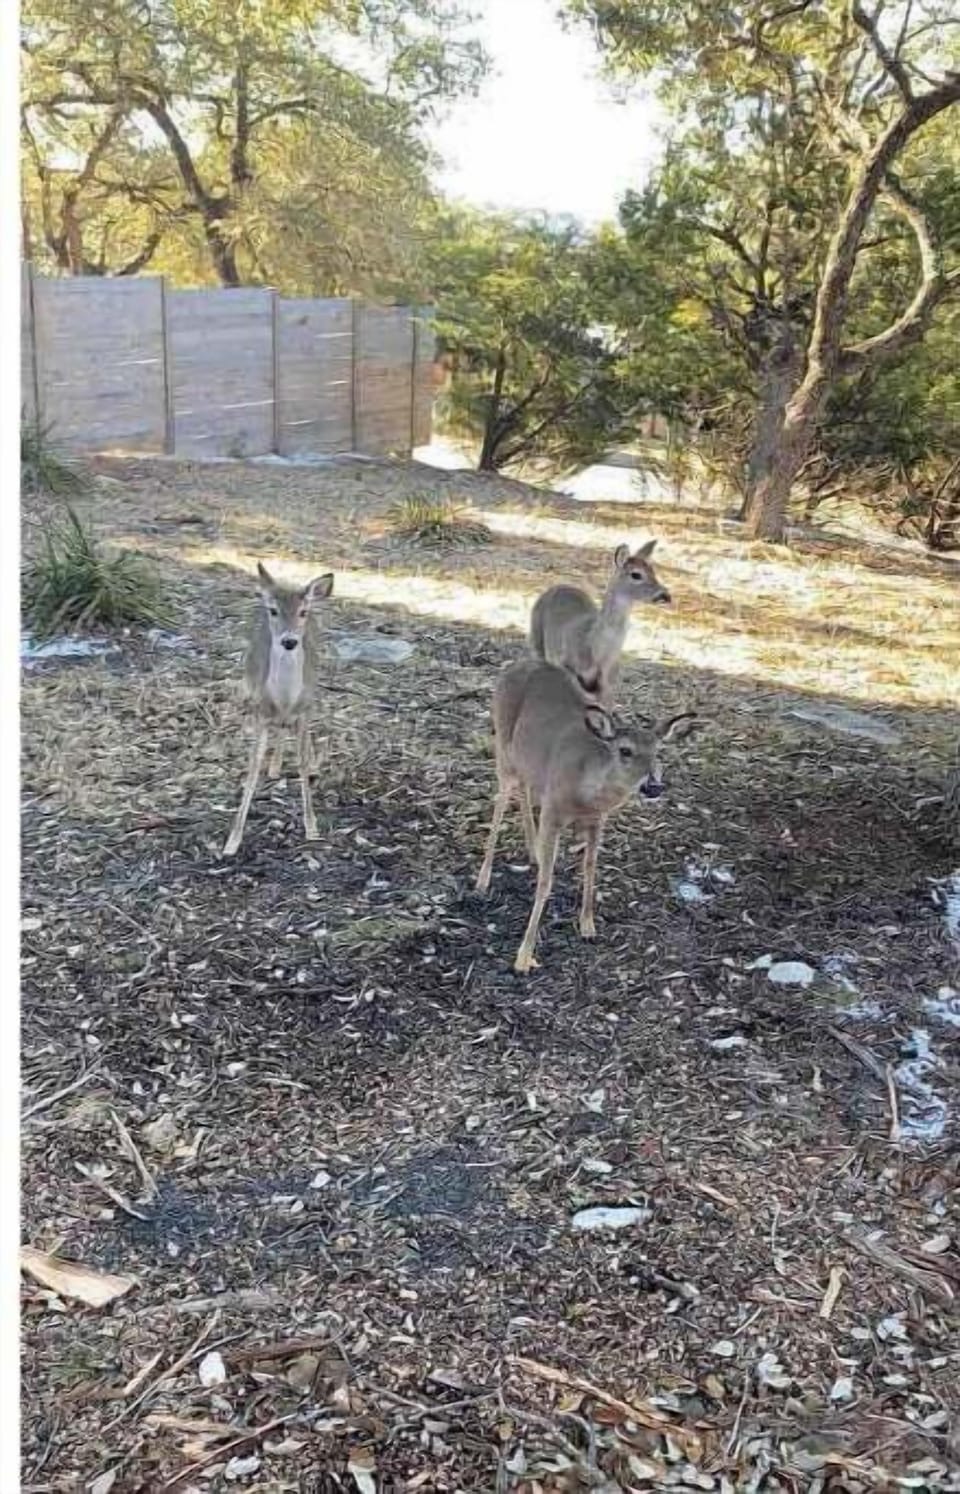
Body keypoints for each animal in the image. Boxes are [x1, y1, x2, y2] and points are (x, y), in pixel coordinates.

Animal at [222, 562, 334, 858]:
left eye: (303, 612)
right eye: (273, 610)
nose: (290, 641)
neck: (284, 700)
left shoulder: (304, 711)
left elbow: (303, 763)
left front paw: (312, 828)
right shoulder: (261, 713)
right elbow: (252, 768)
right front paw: (232, 842)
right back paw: (274, 766)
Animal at [475, 658, 699, 973]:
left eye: (658, 752)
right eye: (625, 751)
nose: (654, 785)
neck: (585, 793)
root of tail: (514, 667)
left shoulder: (596, 819)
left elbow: (591, 867)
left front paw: (588, 925)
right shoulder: (553, 811)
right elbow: (546, 882)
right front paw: (524, 955)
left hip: (529, 763)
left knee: (525, 789)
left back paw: (532, 852)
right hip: (502, 745)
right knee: (500, 801)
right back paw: (483, 880)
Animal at [529, 541, 671, 706]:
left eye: (653, 571)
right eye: (636, 574)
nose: (665, 595)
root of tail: (558, 586)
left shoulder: (608, 683)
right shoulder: (567, 666)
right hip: (537, 641)